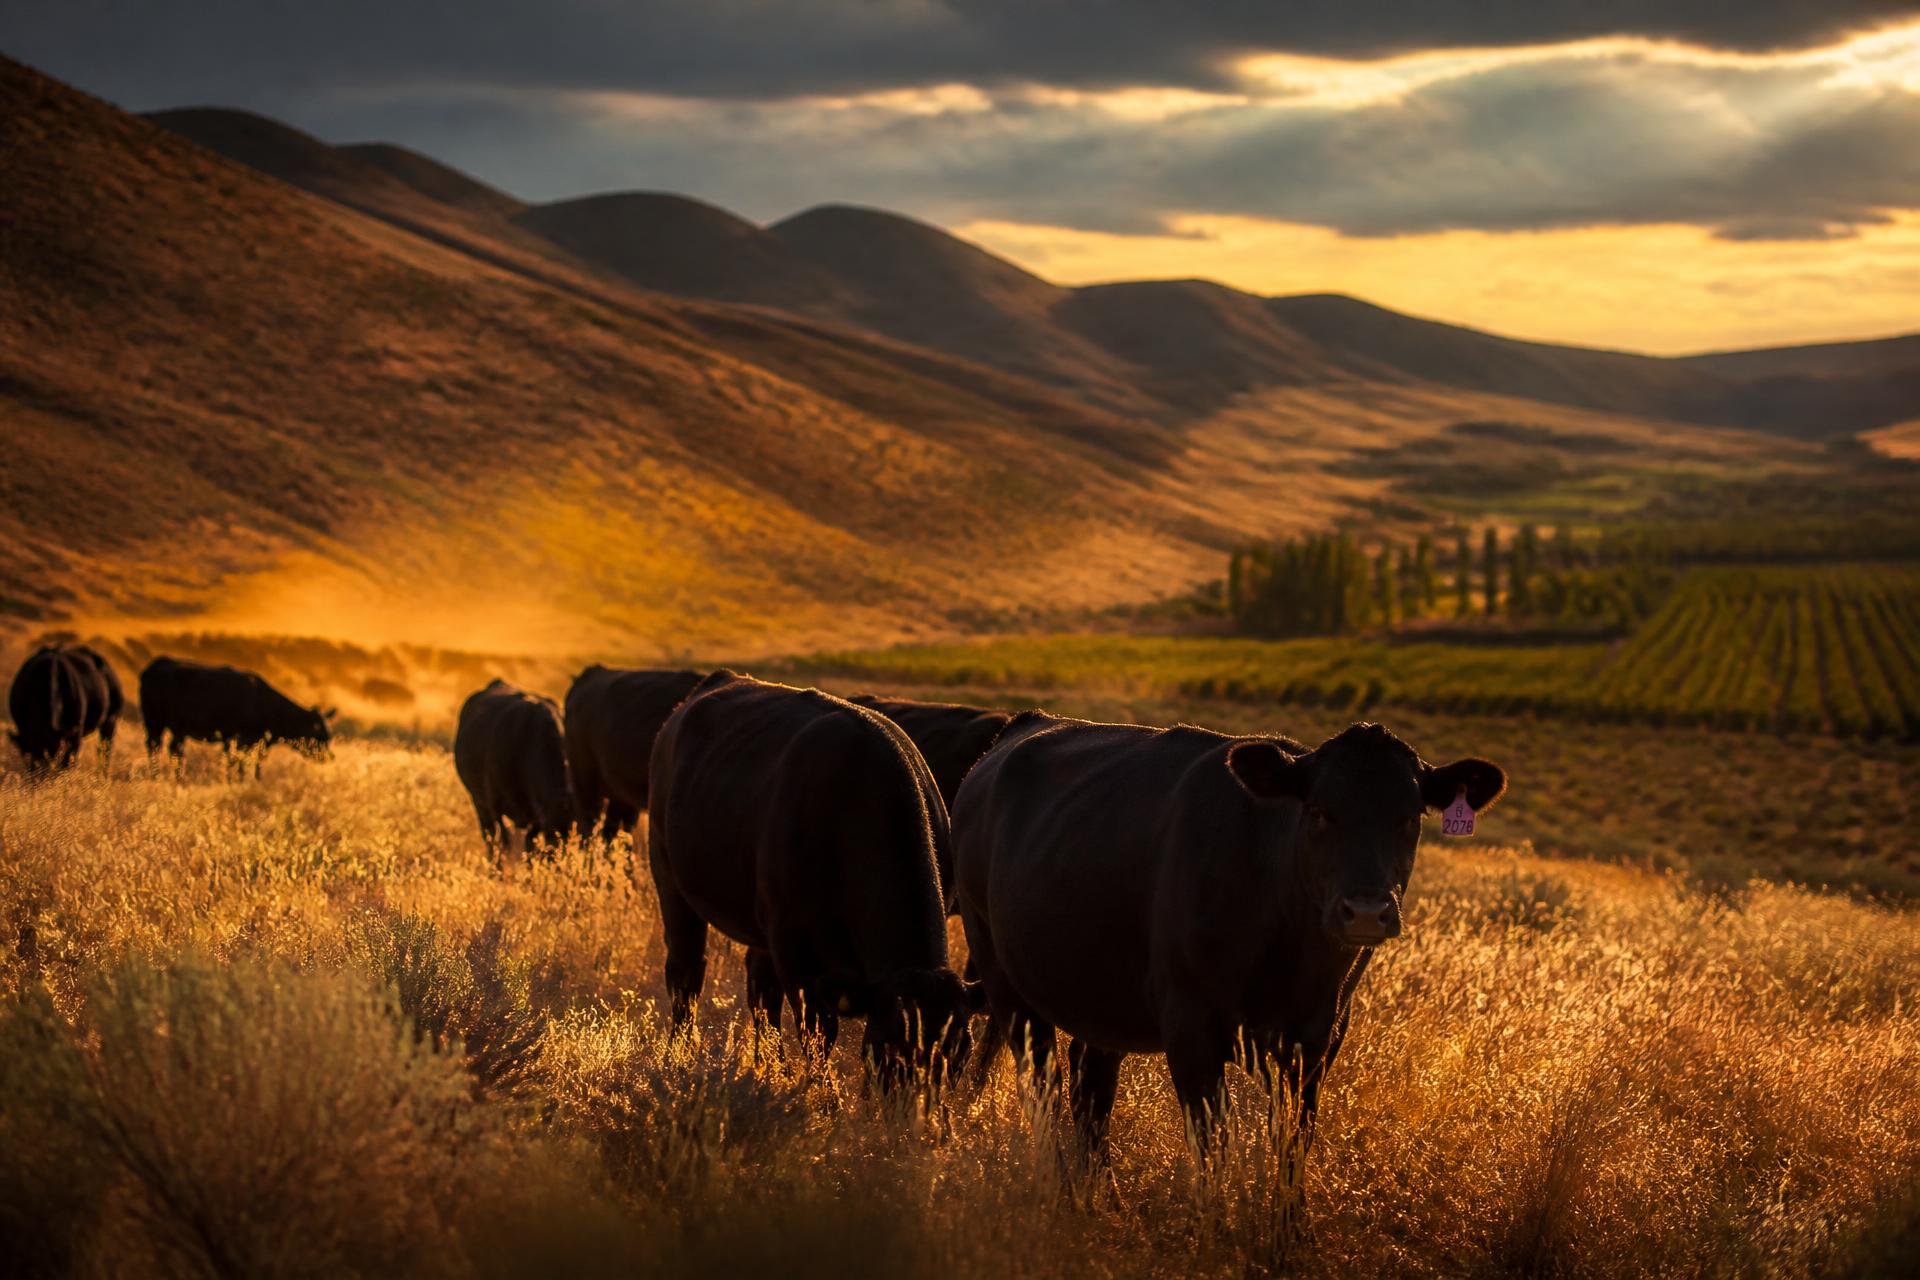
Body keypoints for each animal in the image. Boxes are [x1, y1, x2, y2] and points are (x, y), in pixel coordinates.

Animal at [7, 644, 123, 774]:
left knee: (105, 750)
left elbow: (68, 762)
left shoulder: (75, 733)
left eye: (54, 753)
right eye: (27, 754)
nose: (41, 774)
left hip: (111, 720)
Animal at [139, 656, 333, 777]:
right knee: (168, 748)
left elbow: (248, 763)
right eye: (321, 736)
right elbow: (240, 763)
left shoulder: (243, 740)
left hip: (160, 725)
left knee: (160, 747)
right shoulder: (242, 738)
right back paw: (170, 777)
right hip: (164, 723)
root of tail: (155, 665)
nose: (329, 758)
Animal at [453, 679, 577, 860]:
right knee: (489, 836)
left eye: (574, 836)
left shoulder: (535, 817)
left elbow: (529, 847)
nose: (559, 859)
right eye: (551, 833)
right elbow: (503, 844)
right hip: (478, 802)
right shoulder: (496, 806)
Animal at [647, 670, 981, 1088]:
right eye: (887, 1050)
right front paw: (824, 1097)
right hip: (670, 878)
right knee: (686, 973)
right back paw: (679, 1058)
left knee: (759, 990)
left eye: (960, 1057)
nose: (916, 1109)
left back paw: (770, 1067)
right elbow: (818, 1031)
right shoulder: (796, 948)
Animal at [953, 713, 1505, 1161]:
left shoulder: (1318, 1038)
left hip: (1101, 999)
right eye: (1319, 811)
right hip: (1005, 983)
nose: (1366, 912)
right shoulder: (1190, 1028)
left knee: (1090, 1094)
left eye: (1410, 817)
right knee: (1042, 1091)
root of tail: (1025, 724)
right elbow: (1213, 1150)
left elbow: (1292, 1148)